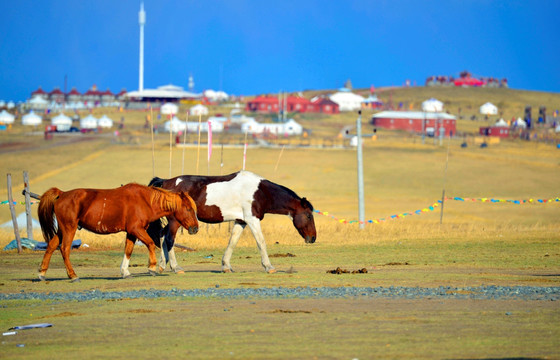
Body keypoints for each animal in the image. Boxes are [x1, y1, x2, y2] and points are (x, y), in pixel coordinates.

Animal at [37, 183, 199, 282]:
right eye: (188, 209)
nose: (195, 228)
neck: (145, 200)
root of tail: (62, 194)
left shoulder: (131, 232)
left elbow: (128, 251)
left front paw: (125, 272)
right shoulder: (136, 229)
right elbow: (151, 244)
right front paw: (152, 267)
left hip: (62, 230)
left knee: (51, 246)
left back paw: (42, 273)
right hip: (69, 228)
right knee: (64, 249)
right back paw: (73, 275)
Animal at [147, 171, 318, 272]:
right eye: (309, 216)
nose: (313, 238)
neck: (261, 192)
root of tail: (166, 182)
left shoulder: (240, 221)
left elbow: (232, 243)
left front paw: (226, 266)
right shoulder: (252, 220)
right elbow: (261, 242)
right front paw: (268, 266)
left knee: (162, 235)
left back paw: (162, 265)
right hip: (175, 221)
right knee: (169, 239)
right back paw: (175, 267)